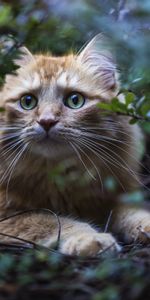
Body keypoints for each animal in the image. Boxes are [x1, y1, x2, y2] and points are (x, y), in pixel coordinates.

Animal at [0, 35, 149, 255]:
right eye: (27, 101)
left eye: (75, 100)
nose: (46, 121)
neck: (59, 178)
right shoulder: (9, 215)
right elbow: (55, 222)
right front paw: (90, 239)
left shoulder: (113, 198)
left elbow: (135, 214)